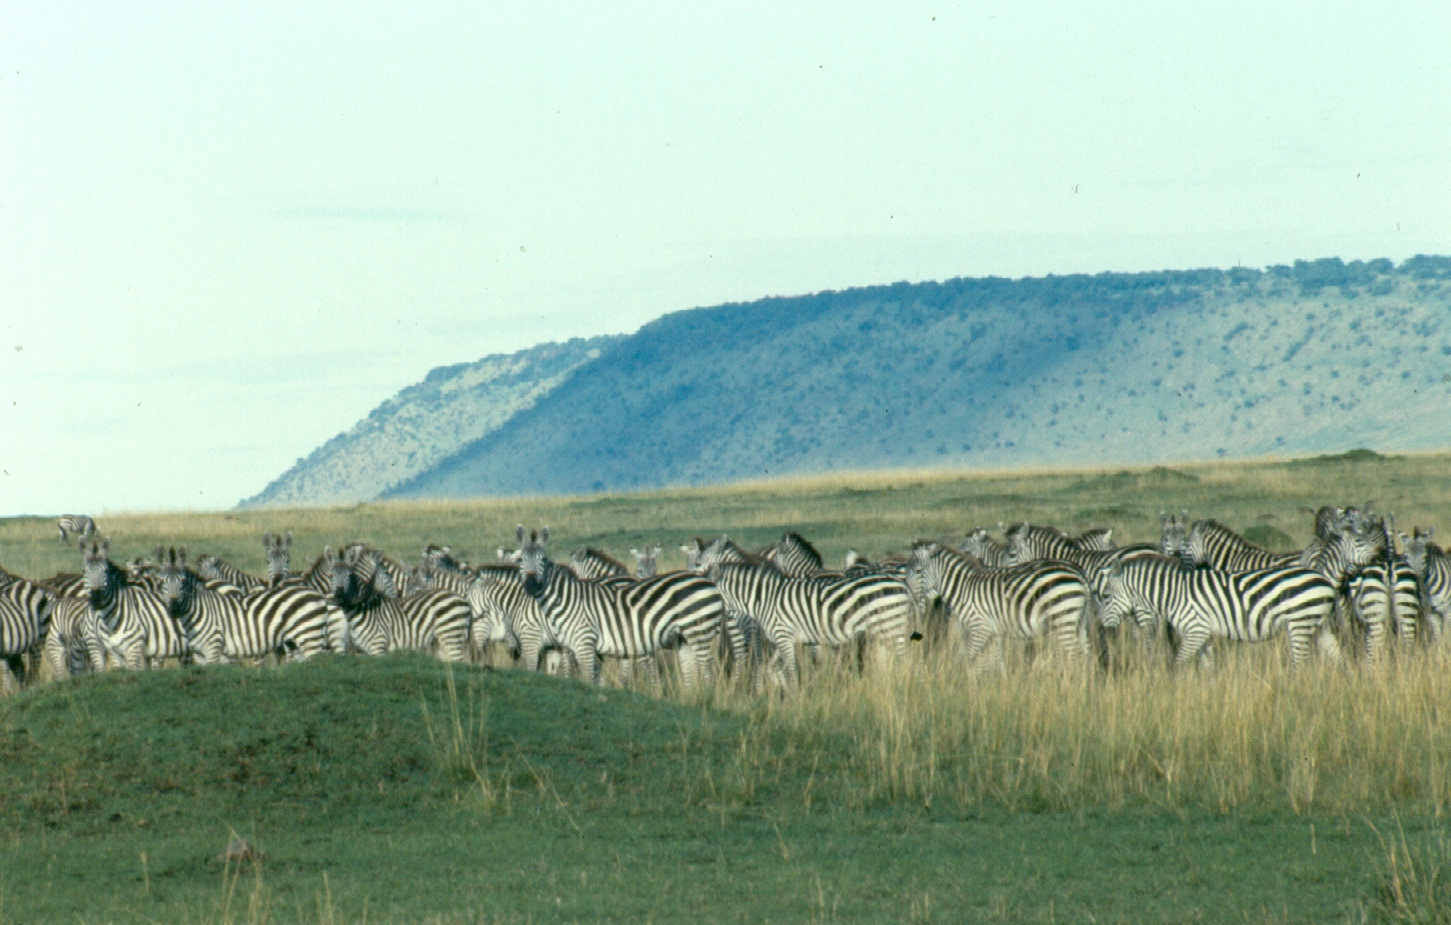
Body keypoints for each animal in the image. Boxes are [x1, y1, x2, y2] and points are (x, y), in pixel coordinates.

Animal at [328, 546, 471, 661]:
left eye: (349, 575)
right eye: (331, 576)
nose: (339, 594)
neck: (361, 607)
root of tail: (462, 598)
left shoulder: (378, 644)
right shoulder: (366, 649)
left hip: (451, 635)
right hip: (441, 641)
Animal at [516, 526, 724, 690]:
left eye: (543, 559)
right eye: (520, 560)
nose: (532, 584)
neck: (566, 598)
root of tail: (708, 580)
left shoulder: (585, 642)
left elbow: (588, 679)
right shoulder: (573, 645)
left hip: (699, 631)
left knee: (708, 668)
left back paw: (706, 698)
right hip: (684, 637)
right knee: (691, 670)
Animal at [906, 542, 1090, 667]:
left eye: (919, 571)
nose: (910, 597)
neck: (963, 589)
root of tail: (1078, 571)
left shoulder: (980, 628)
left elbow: (966, 659)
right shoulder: (993, 633)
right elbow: (995, 662)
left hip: (1062, 619)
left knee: (1076, 655)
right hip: (1076, 622)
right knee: (1086, 654)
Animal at [1094, 557, 1339, 669]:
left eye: (1105, 596)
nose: (1101, 626)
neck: (1174, 594)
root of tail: (1325, 581)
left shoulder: (1196, 631)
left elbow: (1177, 663)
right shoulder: (1205, 634)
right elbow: (1209, 667)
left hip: (1300, 623)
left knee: (1300, 664)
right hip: (1319, 625)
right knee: (1338, 657)